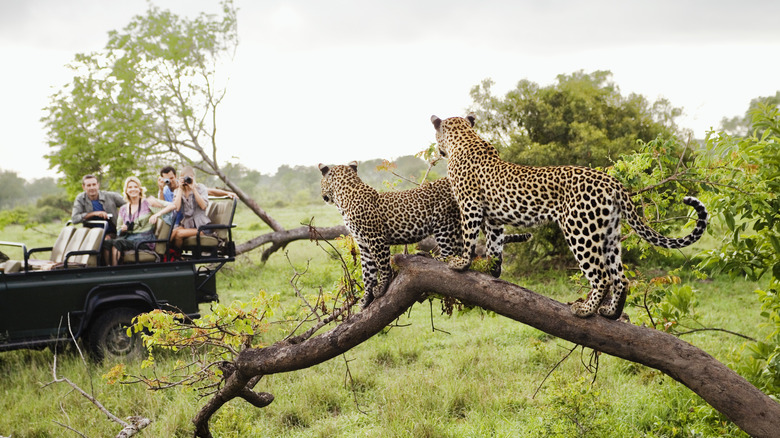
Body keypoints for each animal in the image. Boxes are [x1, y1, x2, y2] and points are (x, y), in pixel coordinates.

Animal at [316, 161, 532, 308]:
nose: (322, 196)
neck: (345, 197)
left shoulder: (376, 239)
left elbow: (383, 266)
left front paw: (382, 287)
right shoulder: (363, 244)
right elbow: (367, 273)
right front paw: (365, 299)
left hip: (444, 222)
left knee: (450, 254)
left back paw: (429, 256)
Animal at [430, 113, 708, 318]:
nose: (438, 149)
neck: (465, 138)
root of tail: (613, 182)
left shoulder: (470, 205)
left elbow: (469, 237)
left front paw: (461, 263)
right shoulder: (495, 218)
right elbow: (494, 245)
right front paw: (492, 270)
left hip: (580, 230)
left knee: (602, 276)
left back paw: (585, 310)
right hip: (609, 234)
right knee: (620, 278)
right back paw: (610, 313)